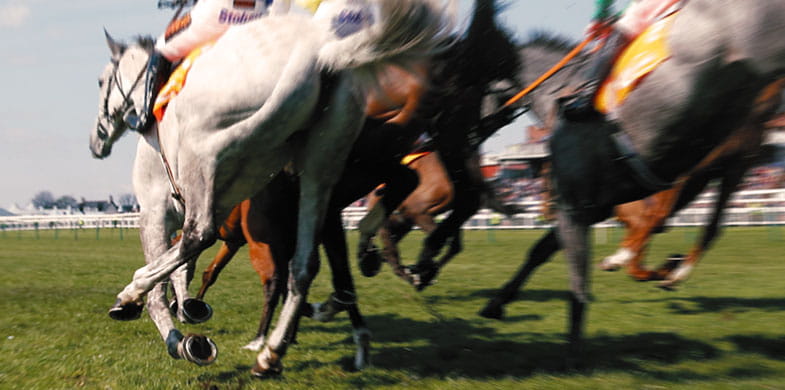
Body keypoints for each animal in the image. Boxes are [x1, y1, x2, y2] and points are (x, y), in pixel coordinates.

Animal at [92, 1, 456, 376]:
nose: (97, 140)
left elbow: (165, 282)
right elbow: (187, 267)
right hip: (320, 170)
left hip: (211, 151)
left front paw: (166, 328)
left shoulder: (157, 210)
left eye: (102, 81)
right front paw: (189, 313)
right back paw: (276, 351)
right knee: (306, 265)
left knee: (200, 234)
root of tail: (320, 54)